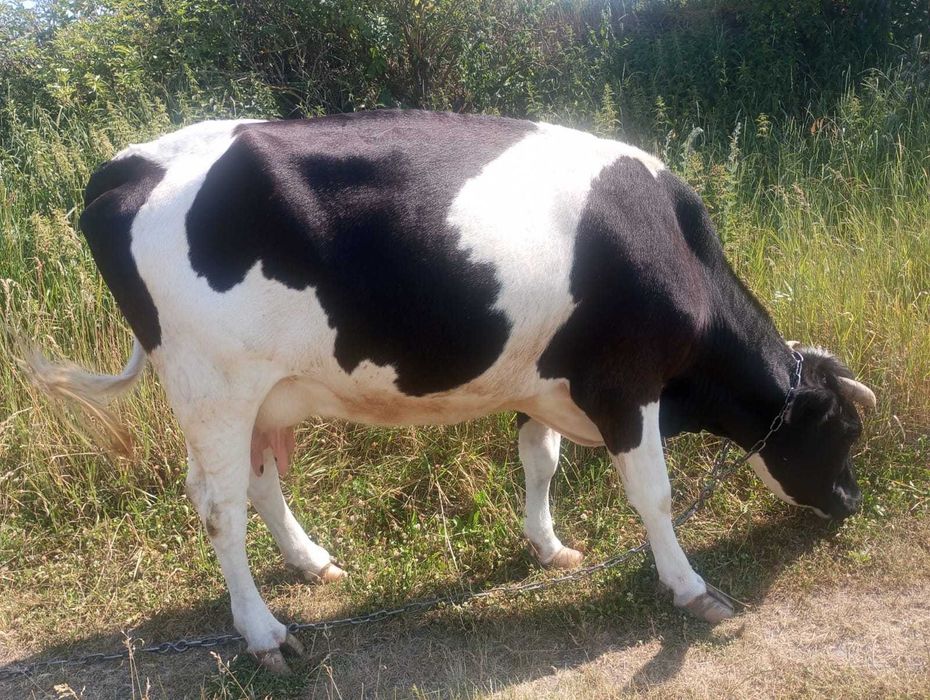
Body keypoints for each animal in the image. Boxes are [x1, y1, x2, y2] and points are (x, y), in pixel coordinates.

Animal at [26, 110, 875, 673]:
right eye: (844, 432)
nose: (853, 501)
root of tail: (134, 161)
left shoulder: (544, 379)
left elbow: (540, 458)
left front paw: (548, 546)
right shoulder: (626, 386)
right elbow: (655, 497)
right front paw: (690, 586)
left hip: (262, 393)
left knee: (259, 483)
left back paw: (312, 563)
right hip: (214, 389)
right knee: (218, 508)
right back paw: (264, 633)